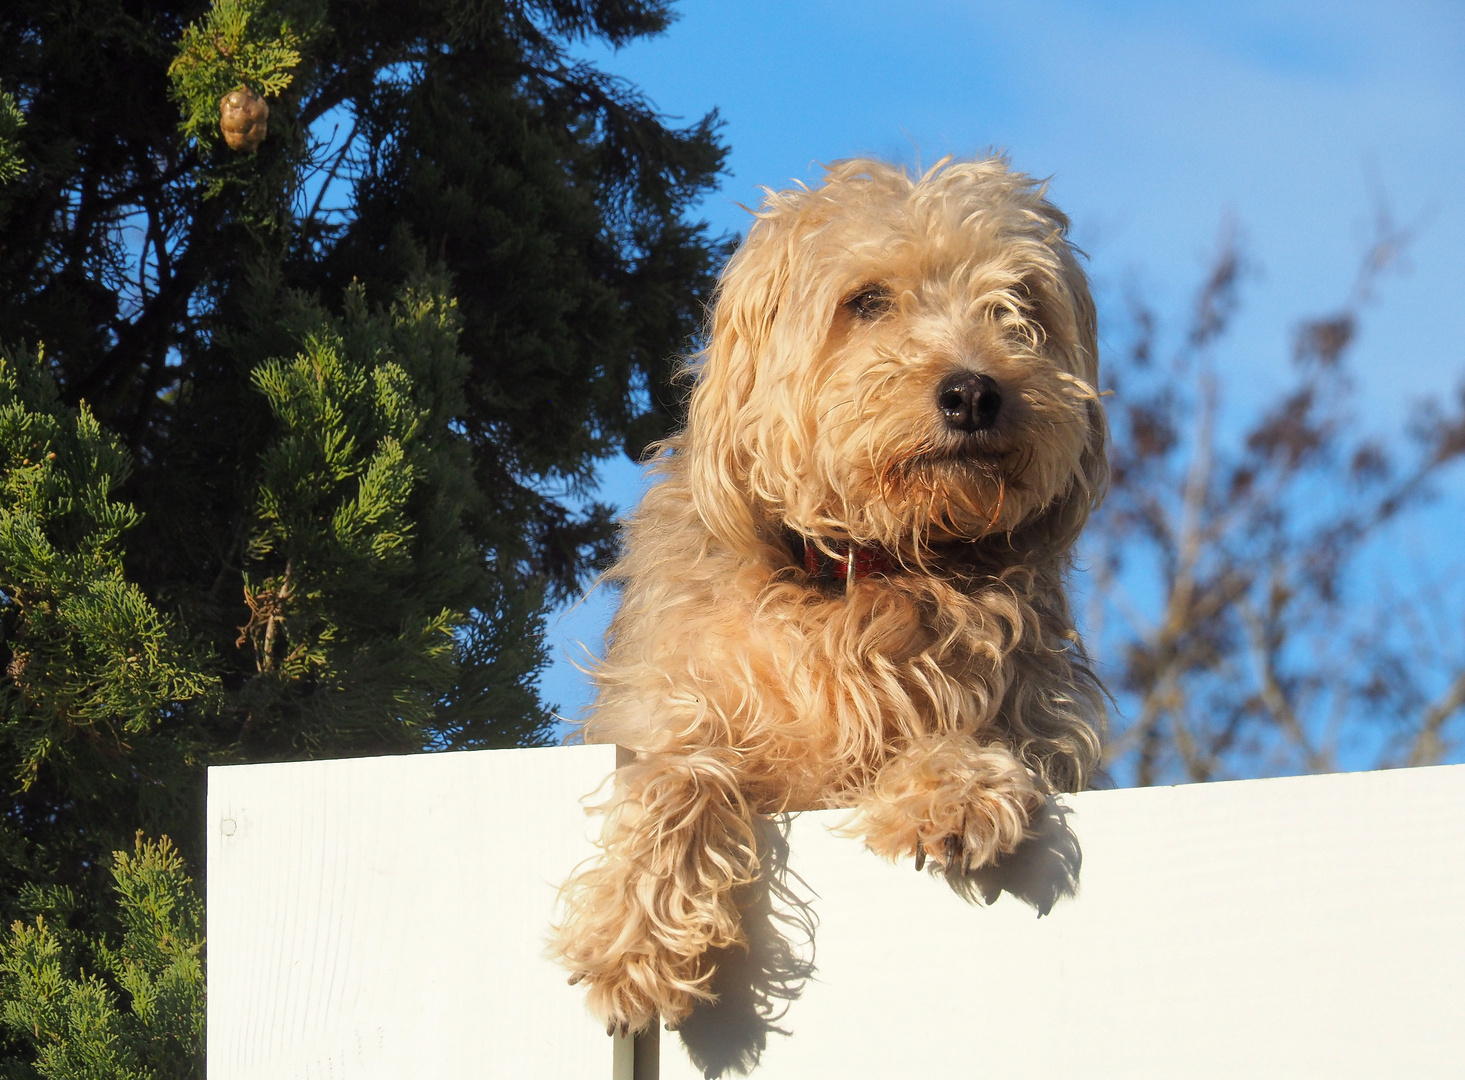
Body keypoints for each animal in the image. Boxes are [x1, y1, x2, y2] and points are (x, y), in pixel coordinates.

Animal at [553, 156, 1101, 1031]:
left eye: (1018, 305)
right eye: (867, 301)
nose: (973, 393)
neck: (867, 567)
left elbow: (959, 726)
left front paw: (955, 785)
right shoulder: (661, 709)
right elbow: (679, 773)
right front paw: (636, 943)